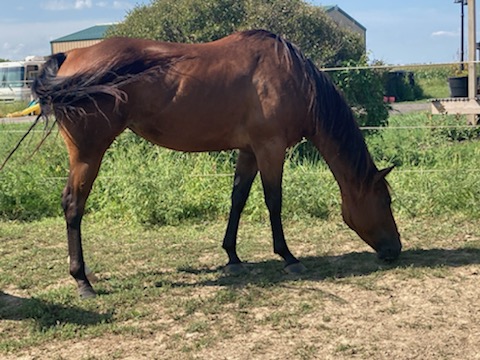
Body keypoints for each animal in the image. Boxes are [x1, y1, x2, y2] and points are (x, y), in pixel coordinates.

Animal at [31, 29, 402, 298]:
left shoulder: (249, 151)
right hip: (87, 154)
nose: (396, 250)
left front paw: (232, 257)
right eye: (386, 200)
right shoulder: (270, 148)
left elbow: (238, 199)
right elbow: (274, 202)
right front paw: (288, 257)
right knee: (73, 206)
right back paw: (82, 281)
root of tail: (69, 55)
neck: (292, 78)